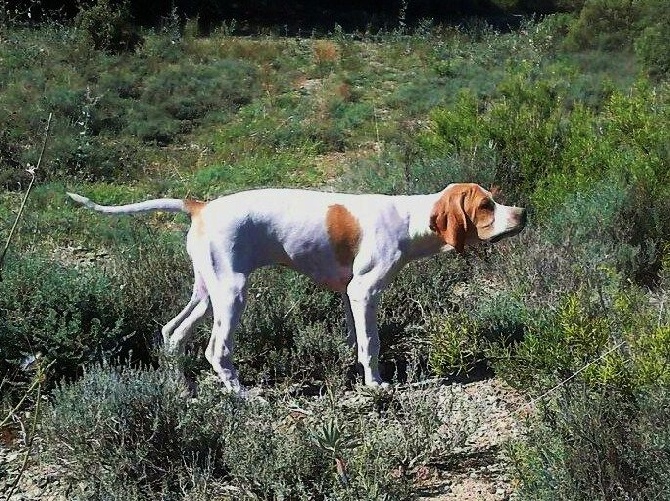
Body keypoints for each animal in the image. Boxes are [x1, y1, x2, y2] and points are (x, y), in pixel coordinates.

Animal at [69, 182, 532, 392]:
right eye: (486, 206)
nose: (523, 213)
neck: (410, 218)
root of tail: (201, 206)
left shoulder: (348, 294)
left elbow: (356, 339)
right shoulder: (364, 292)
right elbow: (371, 344)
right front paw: (376, 385)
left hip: (206, 294)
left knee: (172, 332)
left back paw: (179, 387)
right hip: (232, 295)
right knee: (215, 350)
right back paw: (242, 395)